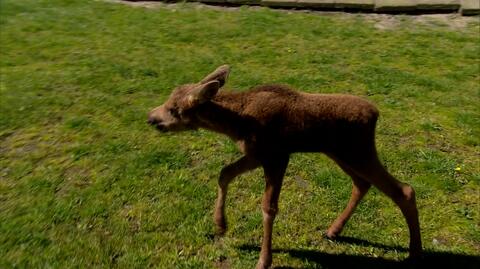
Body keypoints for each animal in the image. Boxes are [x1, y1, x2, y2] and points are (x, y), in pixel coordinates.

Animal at [148, 64, 422, 266]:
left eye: (174, 109)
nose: (151, 117)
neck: (236, 125)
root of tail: (376, 113)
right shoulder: (257, 154)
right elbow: (224, 173)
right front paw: (220, 224)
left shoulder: (277, 155)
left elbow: (268, 207)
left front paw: (263, 260)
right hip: (340, 153)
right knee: (362, 183)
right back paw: (334, 230)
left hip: (359, 152)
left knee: (404, 190)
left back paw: (416, 252)